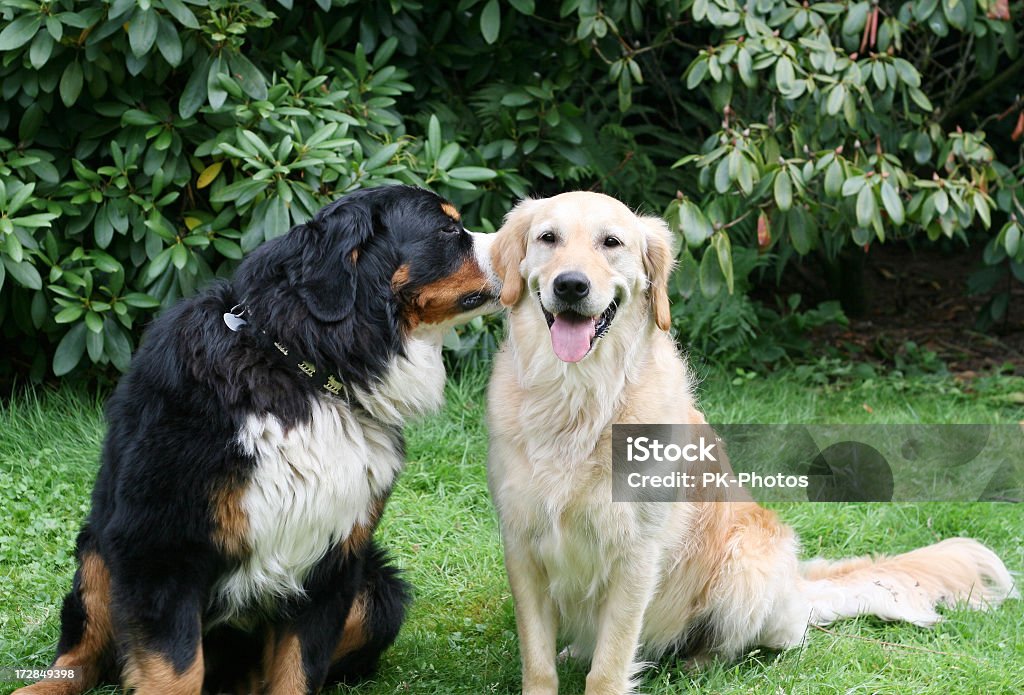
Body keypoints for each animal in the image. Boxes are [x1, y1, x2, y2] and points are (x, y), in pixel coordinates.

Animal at [14, 185, 497, 695]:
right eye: (446, 230)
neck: (307, 369)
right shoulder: (159, 545)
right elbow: (176, 669)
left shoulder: (332, 559)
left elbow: (297, 669)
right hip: (97, 552)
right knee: (82, 653)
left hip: (377, 593)